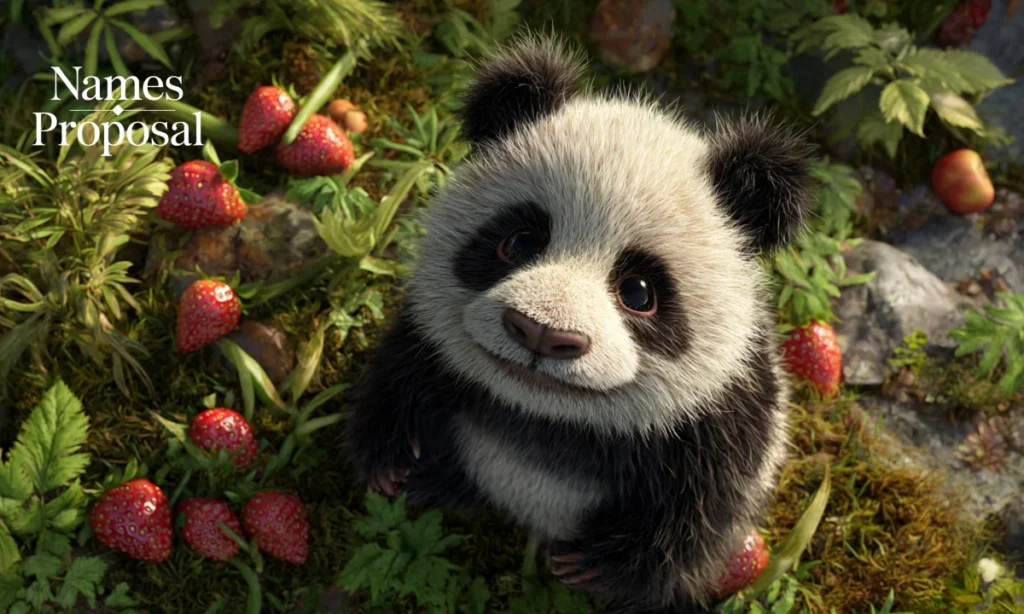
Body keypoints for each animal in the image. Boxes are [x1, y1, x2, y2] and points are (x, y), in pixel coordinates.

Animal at [344, 32, 814, 614]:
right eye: (519, 241)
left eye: (639, 292)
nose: (541, 333)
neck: (546, 415)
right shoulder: (429, 336)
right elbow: (403, 370)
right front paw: (398, 461)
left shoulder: (723, 409)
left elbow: (705, 507)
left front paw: (598, 565)